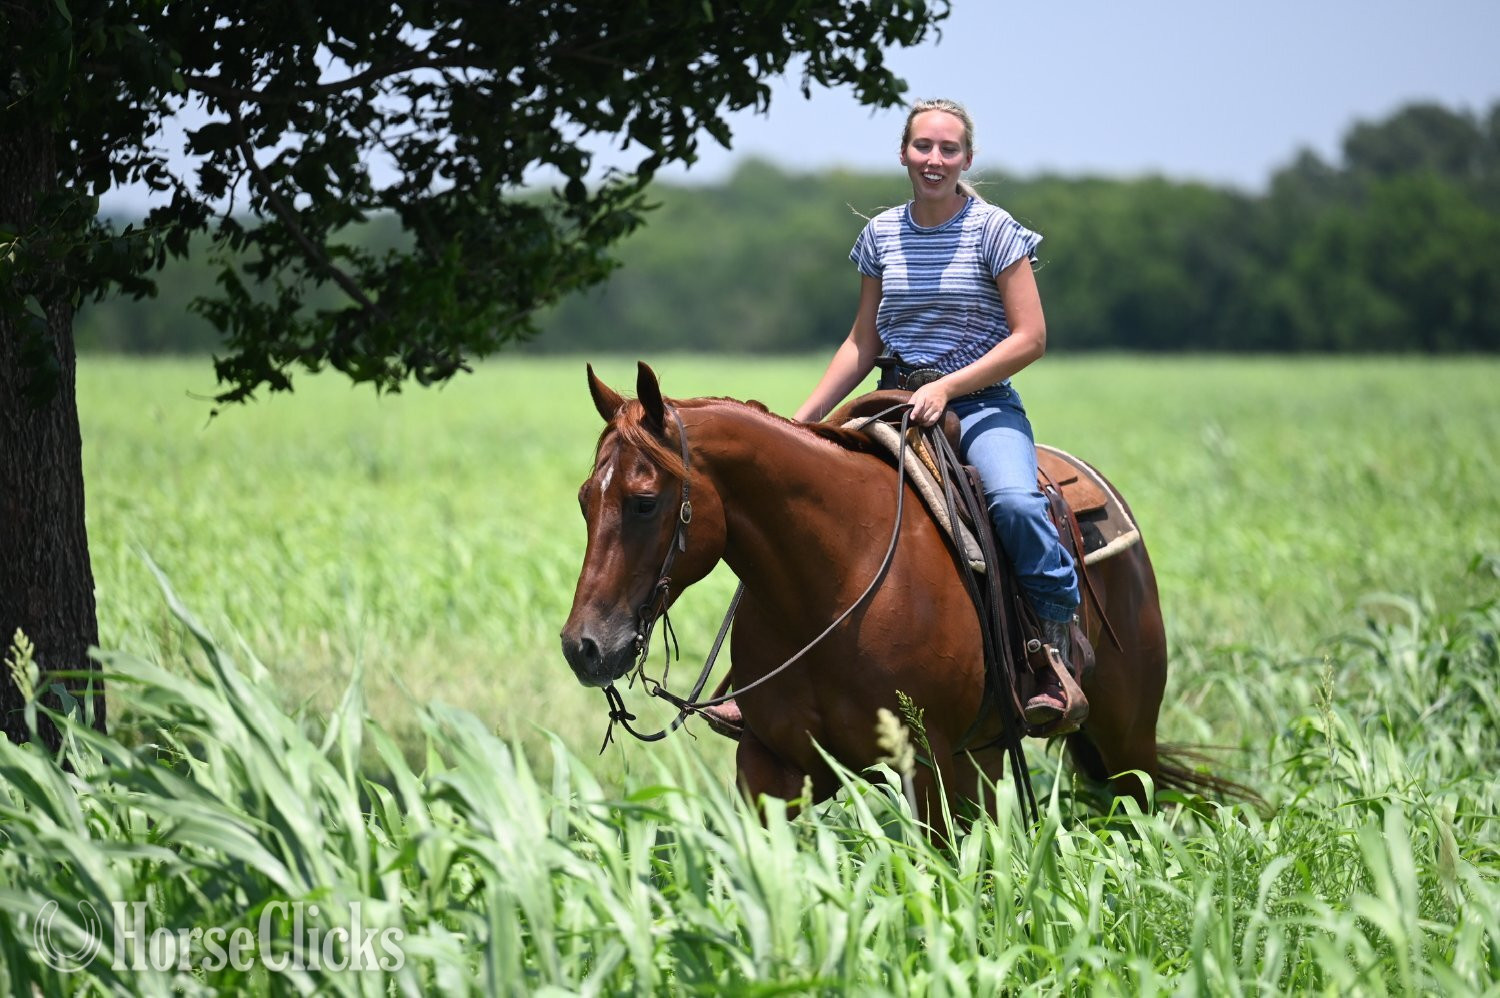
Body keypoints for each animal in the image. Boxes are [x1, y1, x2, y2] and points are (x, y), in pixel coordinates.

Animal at [560, 362, 1238, 830]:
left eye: (645, 502)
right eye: (585, 501)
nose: (583, 647)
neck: (832, 584)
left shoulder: (925, 764)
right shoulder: (772, 766)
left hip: (1126, 740)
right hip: (987, 754)